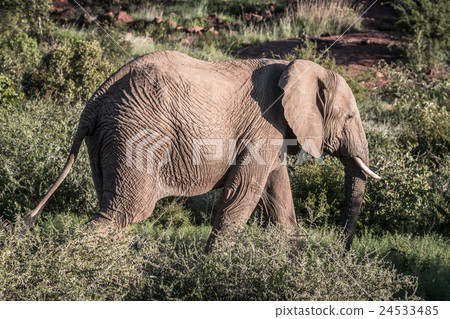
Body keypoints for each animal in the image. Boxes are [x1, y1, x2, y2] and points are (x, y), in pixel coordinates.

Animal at [23, 50, 380, 251]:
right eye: (349, 117)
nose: (339, 254)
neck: (295, 67)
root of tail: (94, 101)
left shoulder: (273, 132)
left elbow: (278, 193)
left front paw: (295, 268)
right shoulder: (264, 123)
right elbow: (243, 192)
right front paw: (210, 271)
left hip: (106, 138)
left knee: (111, 207)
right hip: (135, 133)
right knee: (126, 211)